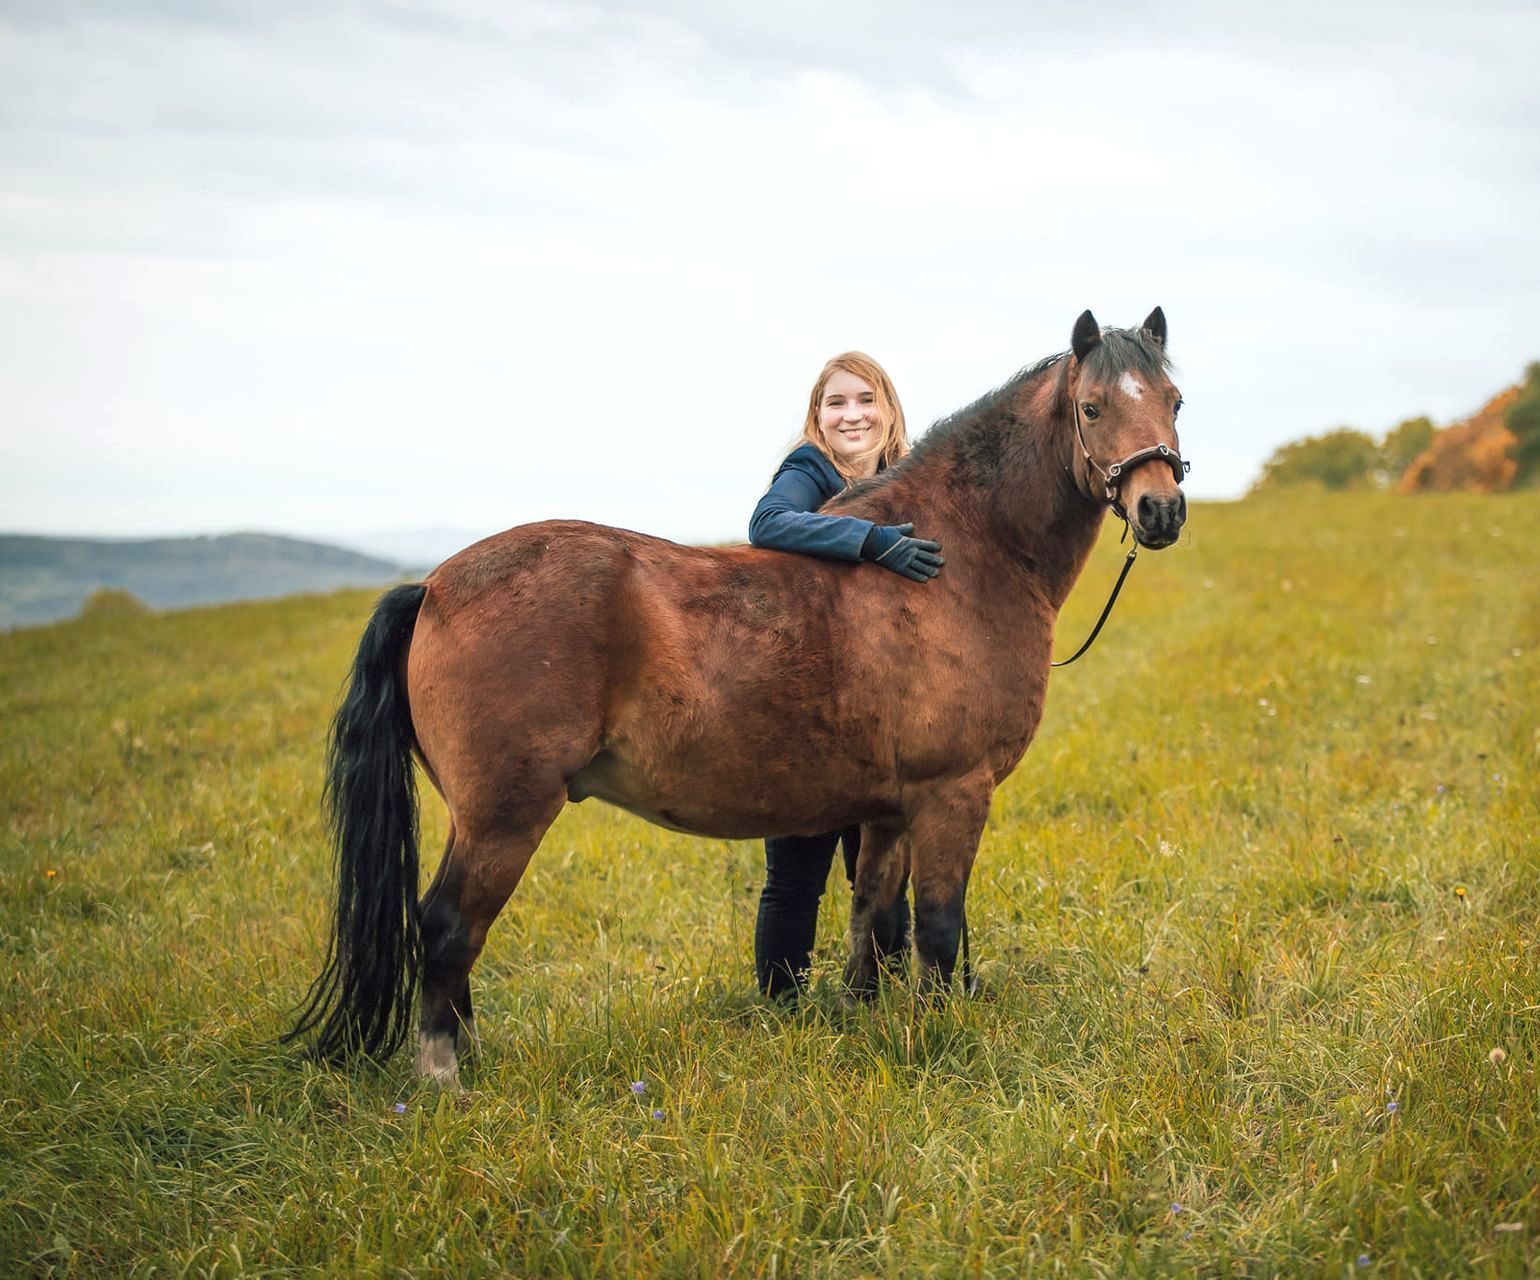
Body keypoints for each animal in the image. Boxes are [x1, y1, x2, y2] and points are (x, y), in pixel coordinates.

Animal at [286, 307, 1189, 1088]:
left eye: (1174, 401)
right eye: (1092, 406)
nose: (1161, 510)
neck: (960, 557)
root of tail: (435, 586)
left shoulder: (891, 809)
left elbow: (873, 920)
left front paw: (865, 1020)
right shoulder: (952, 794)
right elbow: (936, 927)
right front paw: (939, 1039)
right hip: (505, 815)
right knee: (447, 927)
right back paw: (445, 1078)